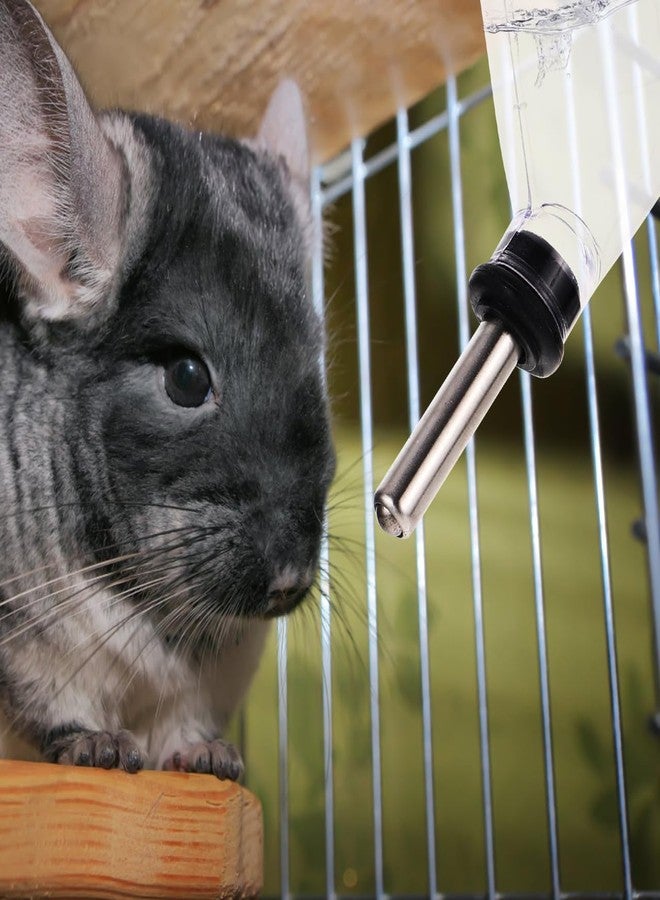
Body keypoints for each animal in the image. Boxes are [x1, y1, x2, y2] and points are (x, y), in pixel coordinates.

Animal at [0, 0, 335, 779]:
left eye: (317, 365)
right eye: (187, 379)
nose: (291, 579)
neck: (146, 602)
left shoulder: (215, 679)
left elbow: (187, 728)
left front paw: (211, 761)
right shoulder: (28, 651)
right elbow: (59, 707)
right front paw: (97, 749)